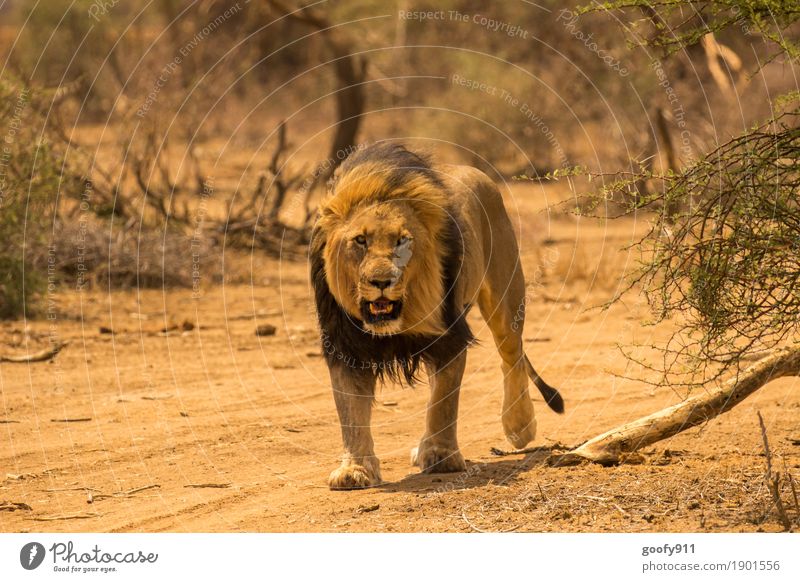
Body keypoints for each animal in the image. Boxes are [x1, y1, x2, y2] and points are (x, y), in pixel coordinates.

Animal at [310, 144, 564, 490]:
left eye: (402, 240)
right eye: (360, 240)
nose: (381, 281)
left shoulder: (450, 337)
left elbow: (444, 402)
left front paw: (442, 456)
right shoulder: (346, 344)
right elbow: (351, 412)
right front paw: (355, 469)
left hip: (505, 296)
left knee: (511, 355)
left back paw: (519, 425)